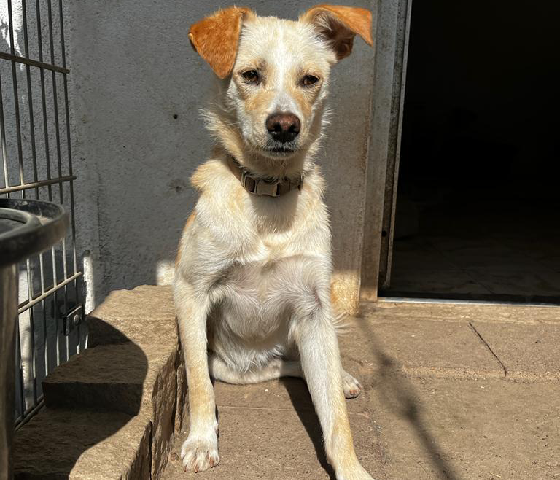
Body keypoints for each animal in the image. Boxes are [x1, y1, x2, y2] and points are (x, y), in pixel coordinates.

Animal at [174, 5, 375, 479]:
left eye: (311, 79)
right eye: (250, 75)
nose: (285, 125)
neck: (268, 194)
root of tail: (256, 362)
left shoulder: (314, 308)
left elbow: (336, 415)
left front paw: (351, 467)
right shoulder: (191, 292)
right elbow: (198, 385)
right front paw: (201, 441)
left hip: (306, 329)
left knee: (312, 367)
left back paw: (342, 376)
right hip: (229, 364)